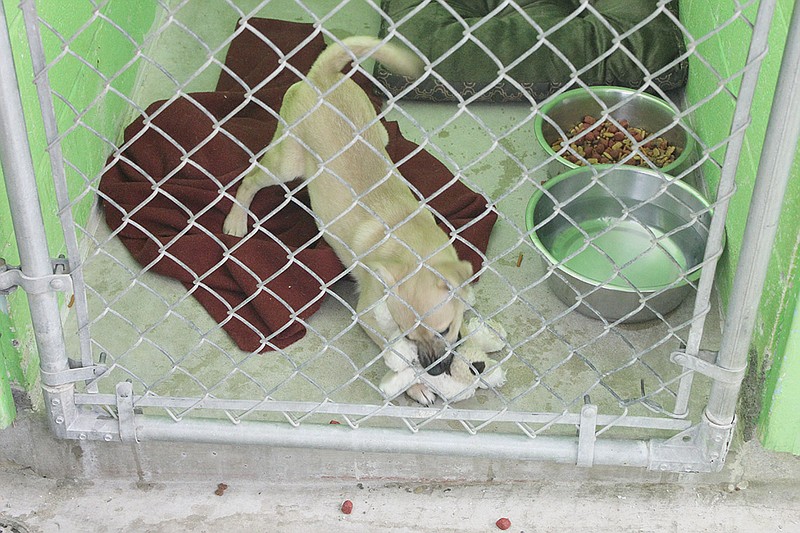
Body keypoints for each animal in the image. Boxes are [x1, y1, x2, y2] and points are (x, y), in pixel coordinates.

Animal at [223, 36, 476, 404]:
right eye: (408, 337)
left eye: (445, 330)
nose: (435, 372)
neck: (410, 242)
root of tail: (323, 76)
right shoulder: (370, 315)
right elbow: (392, 351)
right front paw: (415, 384)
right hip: (286, 163)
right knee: (250, 178)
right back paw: (236, 219)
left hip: (379, 134)